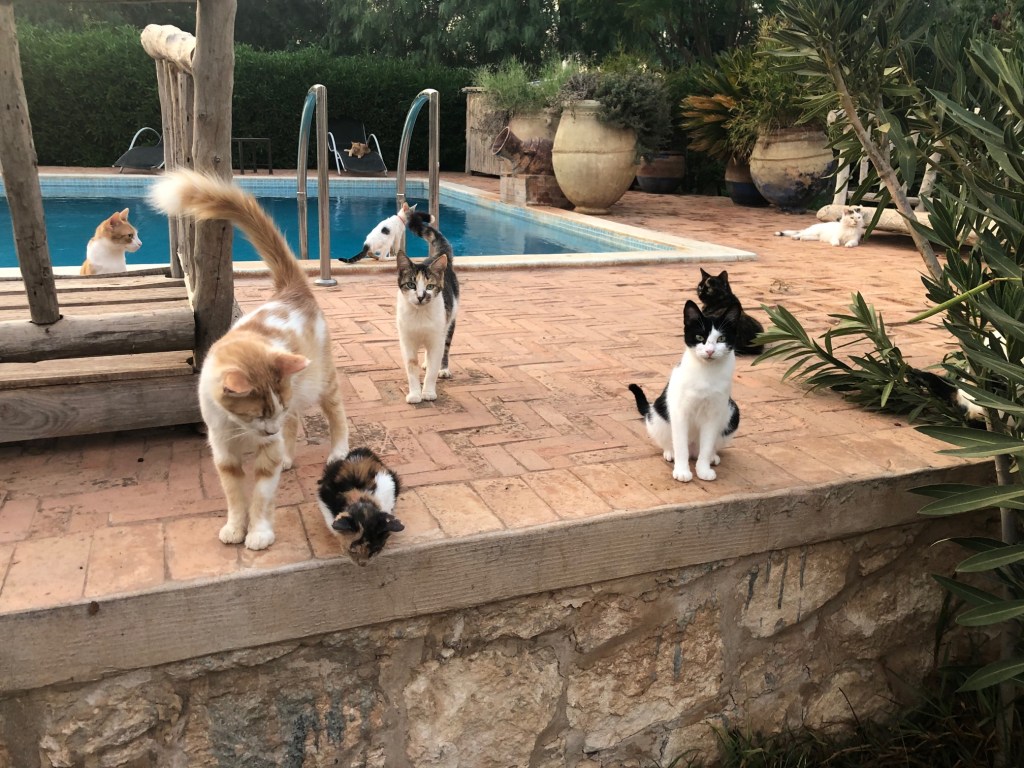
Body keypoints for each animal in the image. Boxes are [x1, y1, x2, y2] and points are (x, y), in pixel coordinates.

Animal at [149, 169, 349, 551]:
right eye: (257, 413)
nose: (269, 429)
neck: (239, 428)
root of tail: (291, 290)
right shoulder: (223, 452)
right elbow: (235, 496)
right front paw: (234, 527)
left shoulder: (267, 448)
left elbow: (260, 496)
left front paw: (258, 533)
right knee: (294, 421)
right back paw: (288, 456)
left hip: (322, 382)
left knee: (335, 414)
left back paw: (338, 451)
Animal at [397, 213, 459, 404]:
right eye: (411, 284)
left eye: (430, 286)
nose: (421, 296)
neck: (420, 315)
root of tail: (439, 256)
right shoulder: (407, 340)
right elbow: (411, 367)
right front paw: (415, 393)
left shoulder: (436, 338)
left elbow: (433, 368)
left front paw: (429, 392)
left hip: (450, 320)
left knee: (445, 347)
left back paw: (443, 369)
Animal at [628, 300, 741, 482]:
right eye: (700, 337)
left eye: (721, 338)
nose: (710, 351)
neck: (706, 374)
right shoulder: (680, 412)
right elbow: (680, 445)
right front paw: (681, 471)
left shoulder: (714, 413)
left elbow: (707, 445)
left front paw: (703, 469)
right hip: (656, 416)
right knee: (672, 442)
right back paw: (670, 453)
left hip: (733, 413)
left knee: (707, 447)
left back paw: (711, 457)